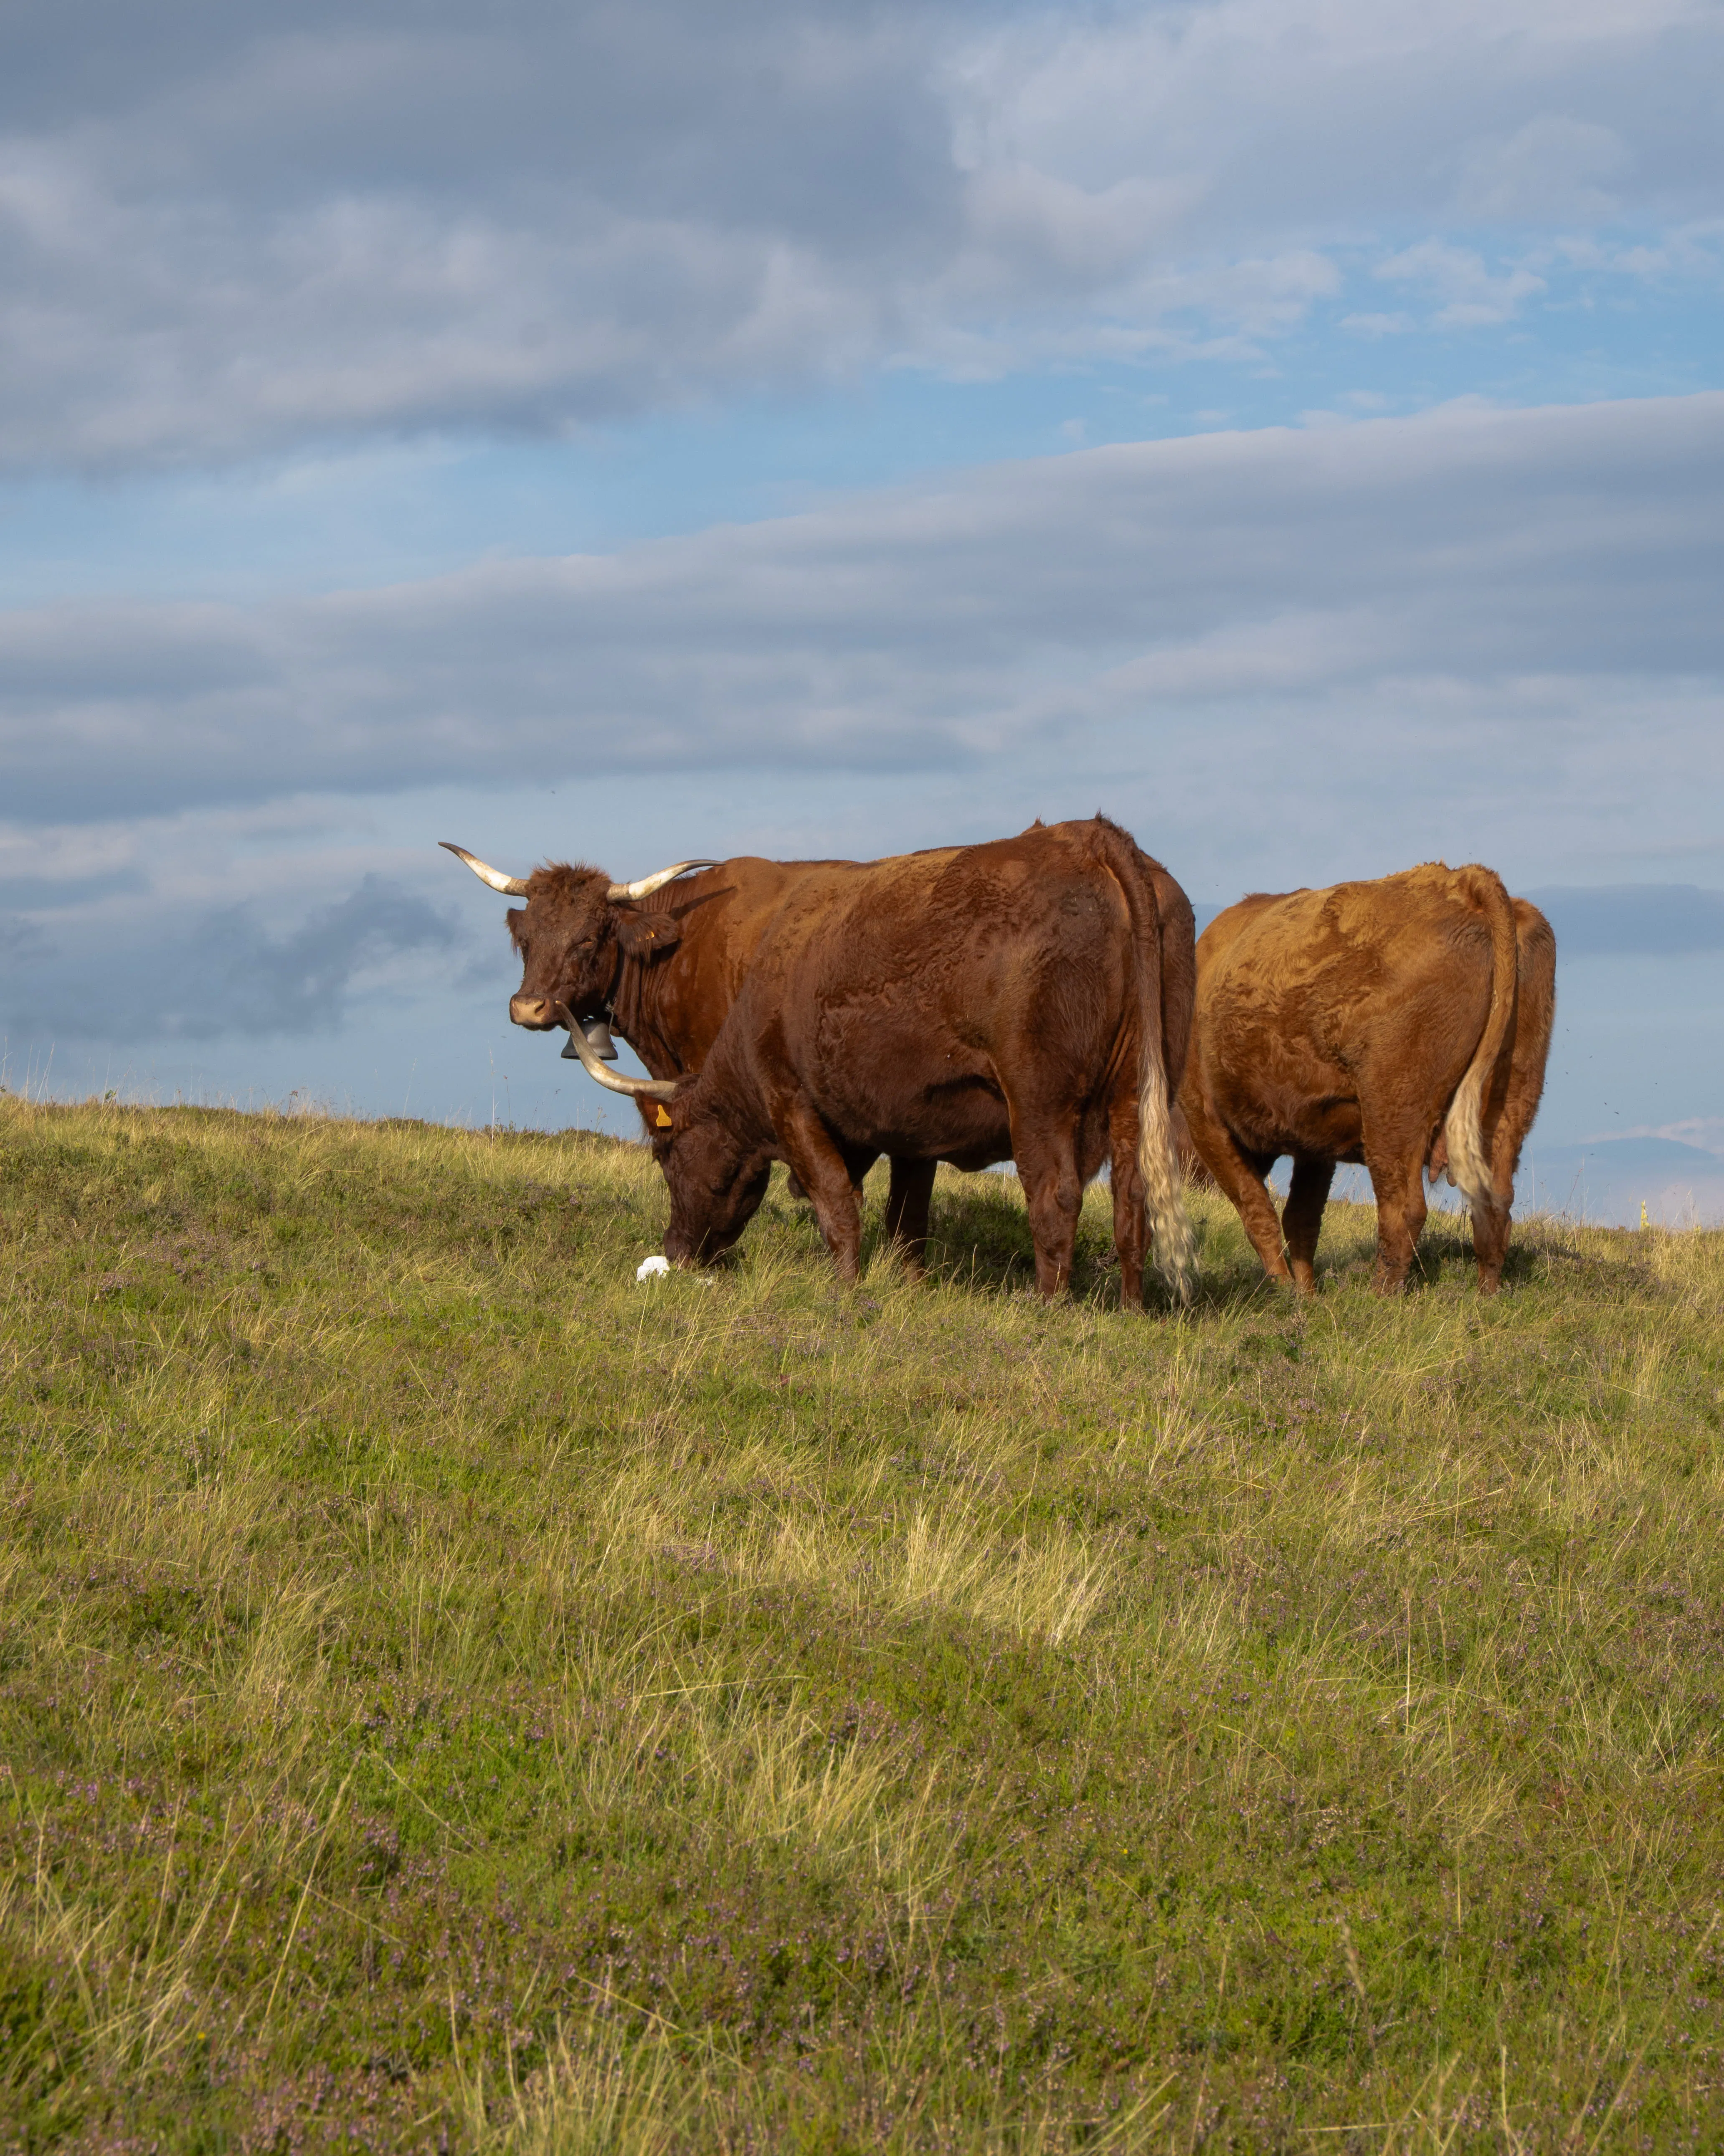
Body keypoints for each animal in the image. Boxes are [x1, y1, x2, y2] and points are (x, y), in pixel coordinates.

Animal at [557, 817, 1199, 1307]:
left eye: (665, 1155)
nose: (677, 1251)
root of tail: (1088, 835)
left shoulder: (790, 1102)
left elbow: (838, 1203)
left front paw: (845, 1288)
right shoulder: (917, 1130)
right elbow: (906, 1218)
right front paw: (910, 1286)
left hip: (1040, 1098)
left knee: (1055, 1193)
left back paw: (1047, 1306)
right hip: (1136, 1091)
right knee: (1132, 1196)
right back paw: (1131, 1307)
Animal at [1178, 863, 1550, 1296]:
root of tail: (1463, 881)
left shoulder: (1206, 1120)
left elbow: (1259, 1214)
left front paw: (1285, 1292)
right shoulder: (1314, 1143)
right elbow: (1301, 1218)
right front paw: (1307, 1296)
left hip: (1393, 1109)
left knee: (1403, 1207)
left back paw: (1381, 1295)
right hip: (1510, 1102)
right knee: (1494, 1206)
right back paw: (1484, 1296)